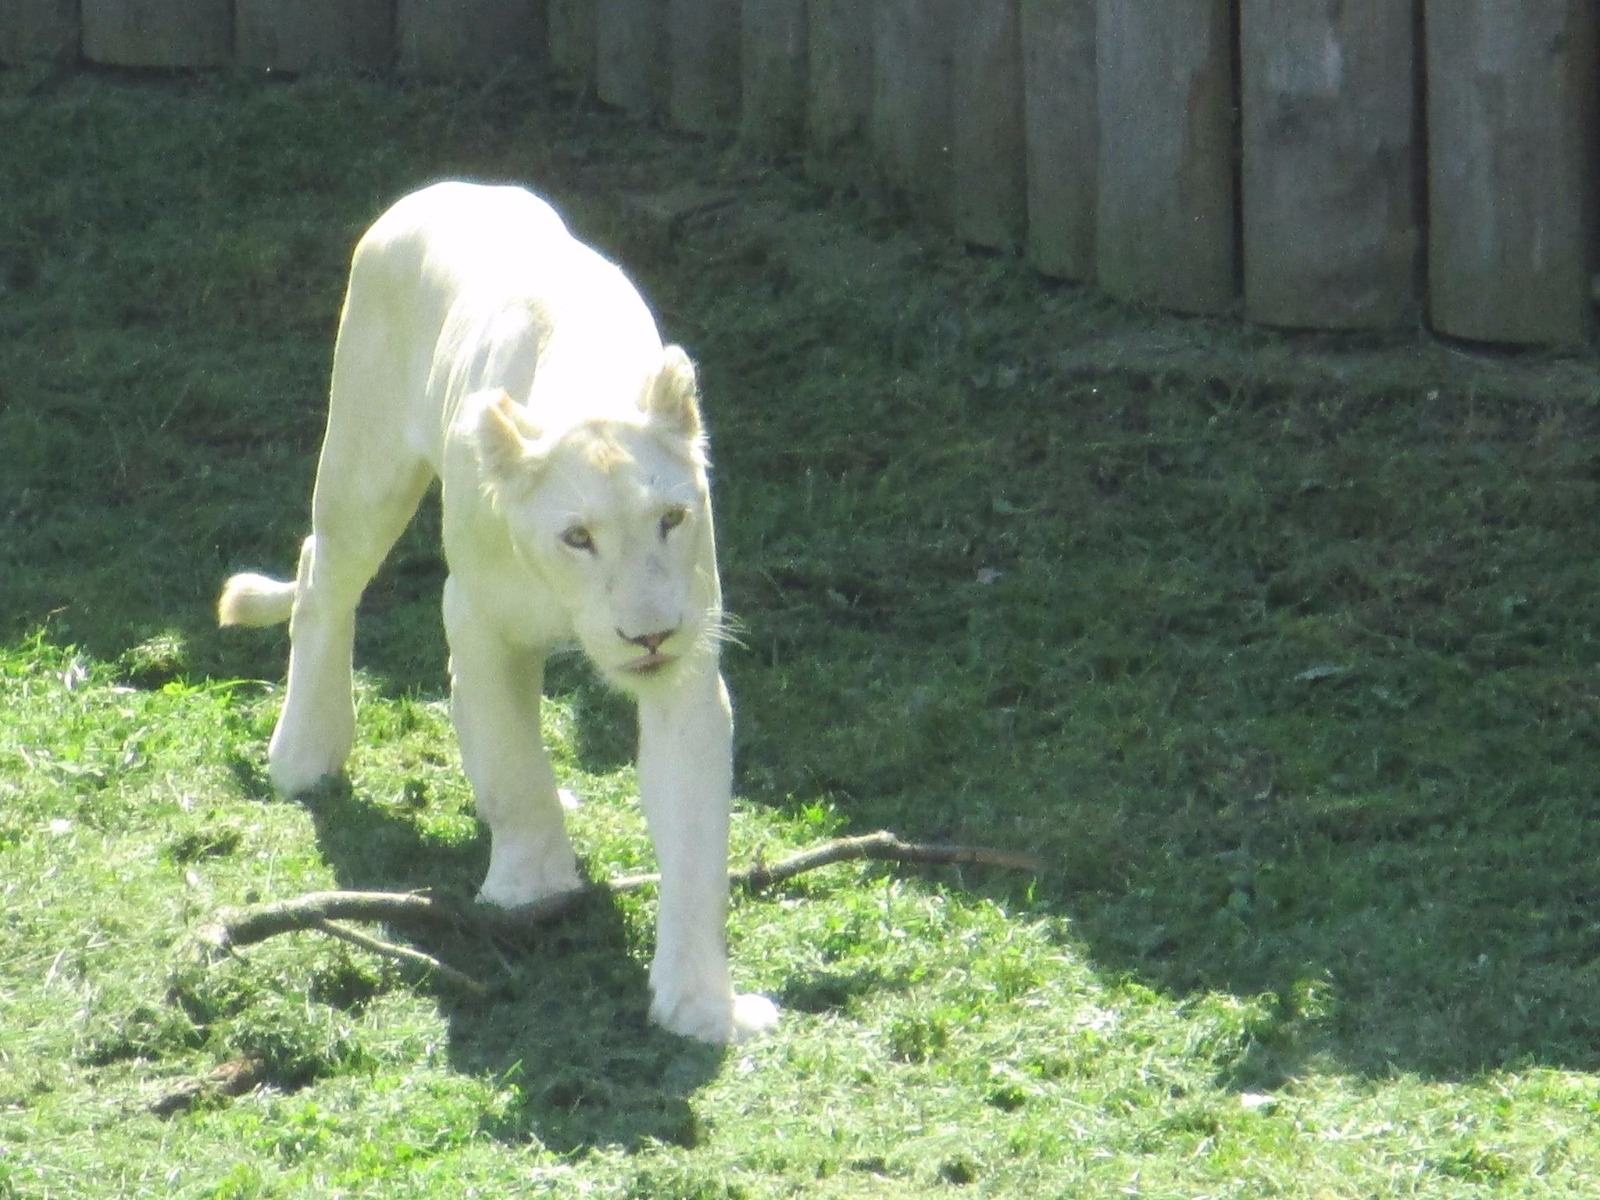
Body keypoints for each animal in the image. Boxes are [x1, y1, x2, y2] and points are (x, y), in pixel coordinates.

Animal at [219, 183, 780, 1049]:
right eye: (577, 536)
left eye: (671, 519)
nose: (648, 635)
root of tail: (442, 189)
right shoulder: (477, 617)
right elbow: (513, 766)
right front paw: (533, 884)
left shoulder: (687, 661)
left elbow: (692, 836)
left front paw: (701, 1007)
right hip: (366, 462)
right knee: (323, 574)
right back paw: (304, 753)